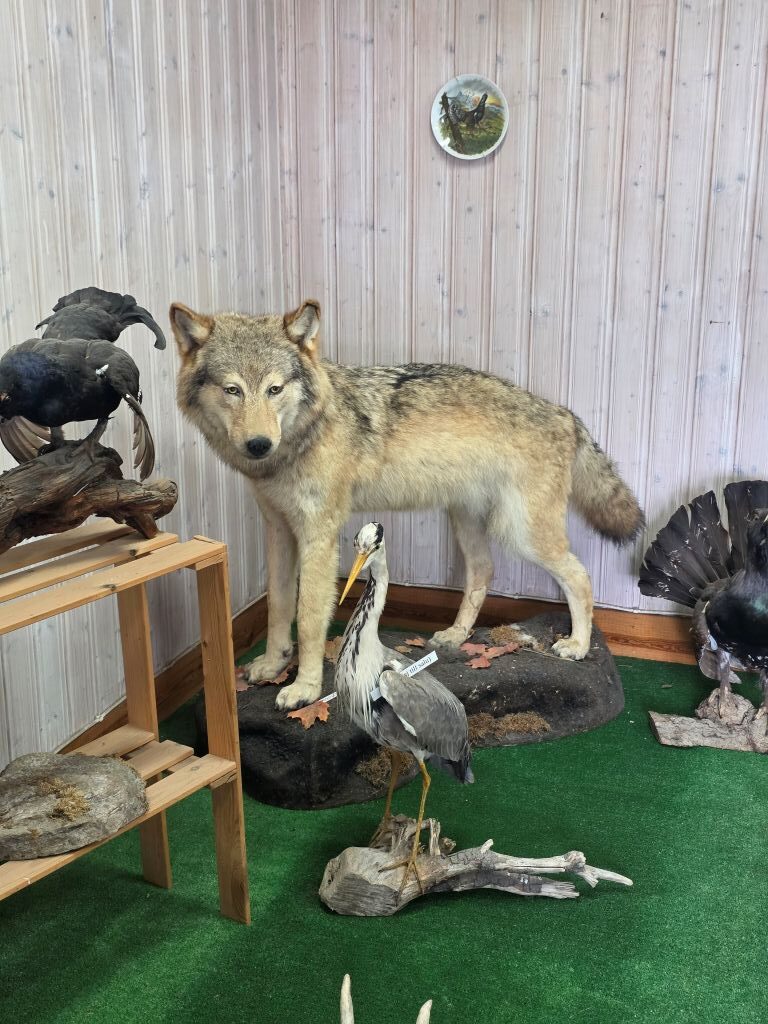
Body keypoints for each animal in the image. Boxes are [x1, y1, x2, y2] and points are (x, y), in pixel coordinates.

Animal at [171, 299, 644, 711]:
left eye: (274, 389)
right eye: (232, 390)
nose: (258, 445)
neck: (303, 435)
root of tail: (566, 415)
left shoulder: (319, 537)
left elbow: (307, 618)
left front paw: (304, 688)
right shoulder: (280, 532)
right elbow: (278, 607)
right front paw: (272, 665)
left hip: (521, 534)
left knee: (579, 576)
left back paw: (577, 645)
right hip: (468, 523)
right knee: (483, 572)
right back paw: (455, 636)